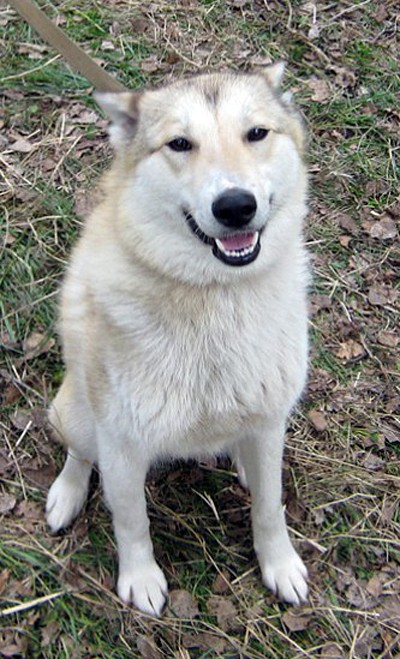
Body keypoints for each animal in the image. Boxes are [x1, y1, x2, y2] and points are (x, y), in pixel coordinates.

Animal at [46, 62, 310, 616]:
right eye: (180, 144)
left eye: (256, 133)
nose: (235, 206)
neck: (213, 295)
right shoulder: (122, 446)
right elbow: (132, 522)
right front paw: (140, 579)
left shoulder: (270, 419)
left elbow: (269, 507)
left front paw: (279, 565)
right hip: (75, 414)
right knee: (80, 454)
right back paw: (66, 494)